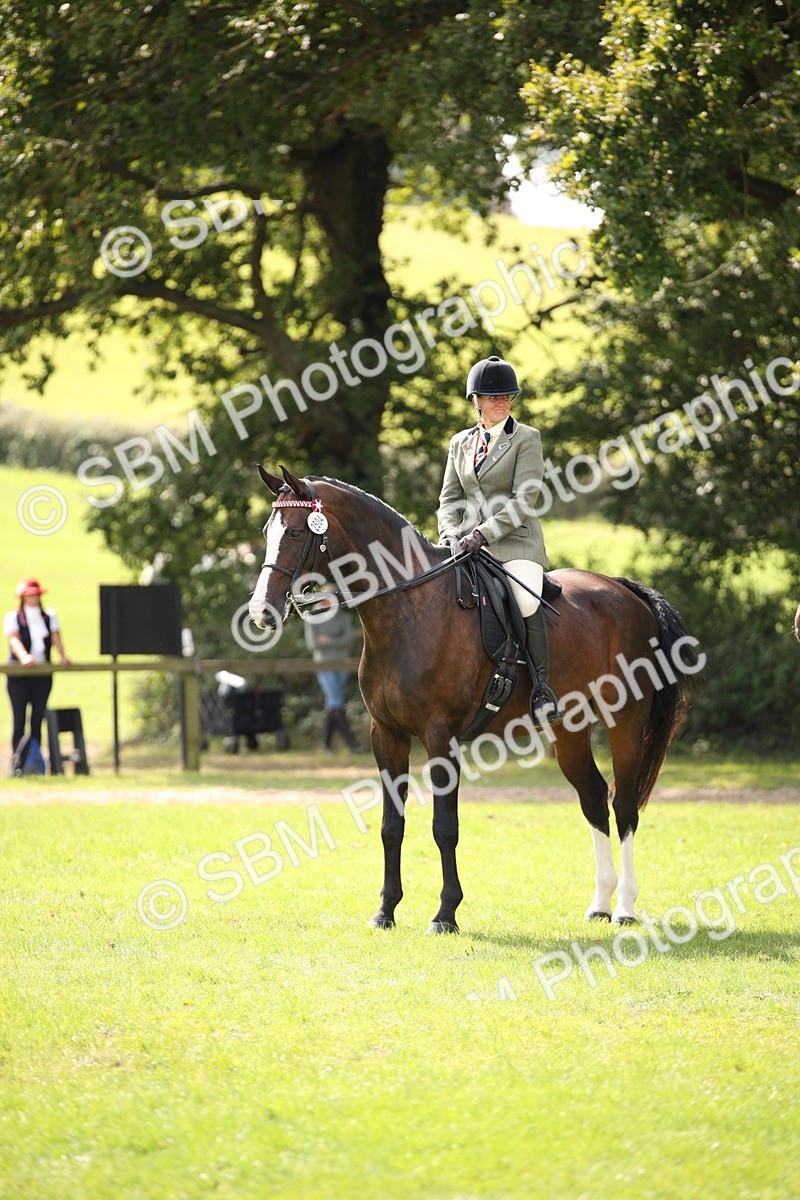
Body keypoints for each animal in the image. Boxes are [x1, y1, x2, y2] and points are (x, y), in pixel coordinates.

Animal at [249, 466, 701, 933]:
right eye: (267, 531)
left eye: (297, 533)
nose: (261, 612)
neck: (408, 608)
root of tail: (625, 591)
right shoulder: (386, 735)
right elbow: (392, 826)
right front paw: (385, 911)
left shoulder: (440, 736)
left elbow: (444, 827)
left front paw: (445, 915)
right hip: (569, 729)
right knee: (594, 798)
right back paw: (599, 905)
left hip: (625, 721)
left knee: (624, 805)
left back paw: (625, 908)